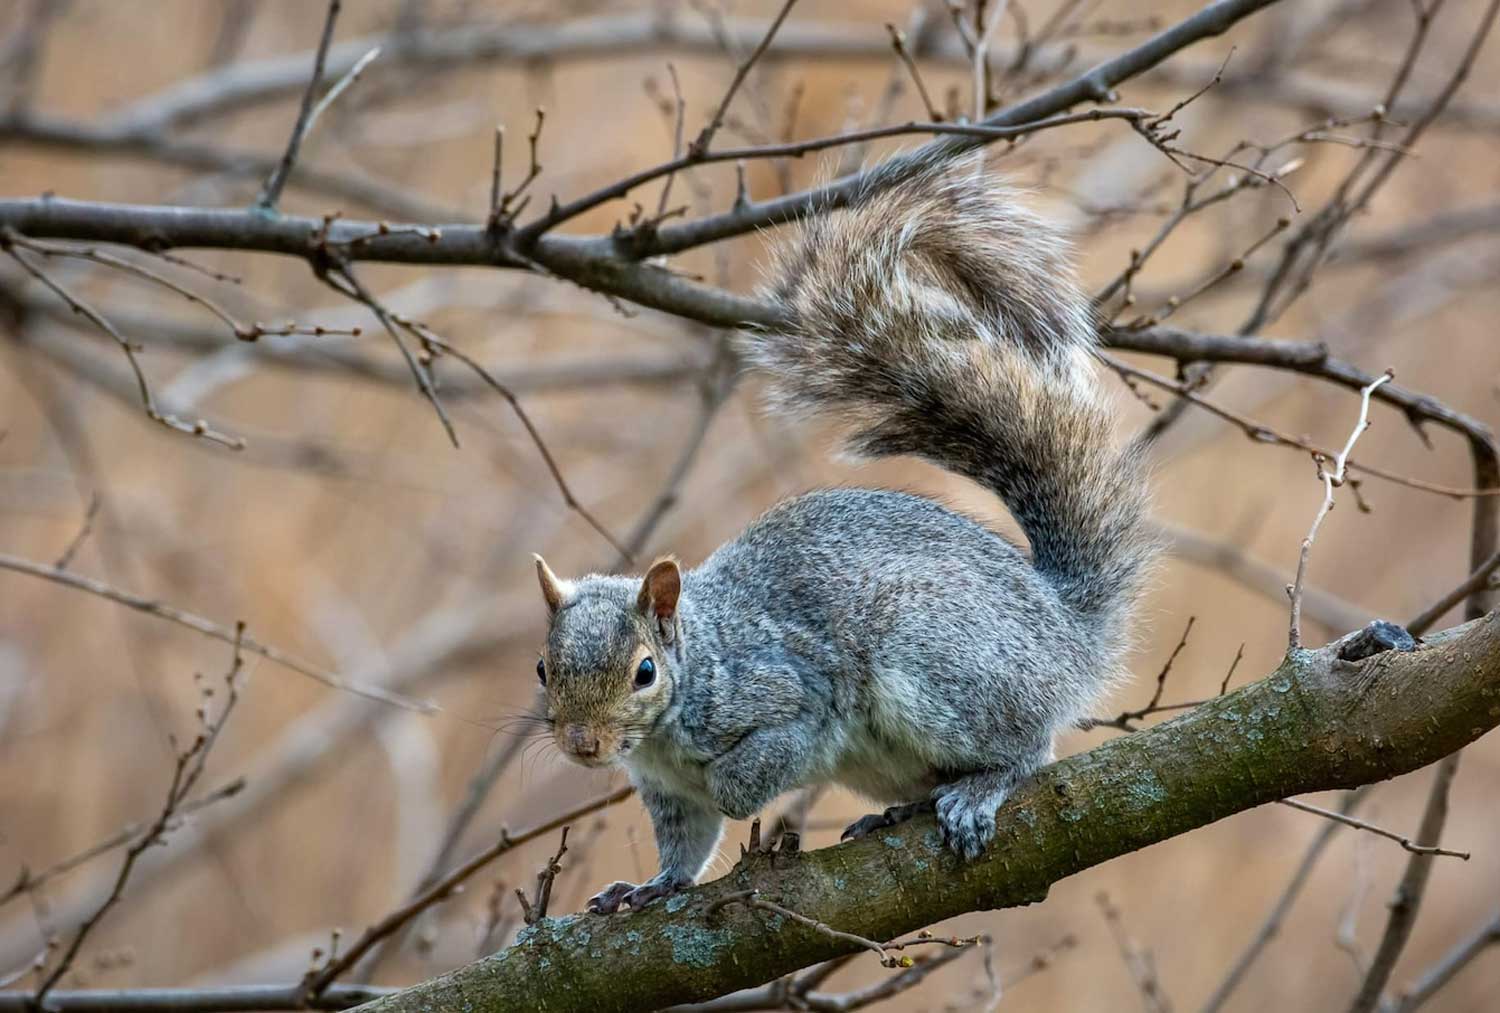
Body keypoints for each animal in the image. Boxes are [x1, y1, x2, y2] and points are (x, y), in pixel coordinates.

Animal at [534, 154, 1152, 912]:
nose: (582, 744)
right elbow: (686, 848)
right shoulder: (668, 797)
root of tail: (1068, 628)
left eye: (644, 670)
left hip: (940, 661)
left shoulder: (789, 695)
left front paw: (735, 791)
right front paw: (653, 885)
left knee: (1026, 749)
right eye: (543, 668)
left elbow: (757, 767)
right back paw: (904, 809)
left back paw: (981, 787)